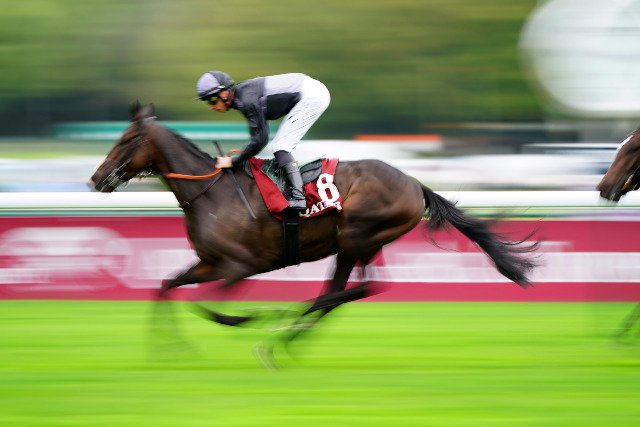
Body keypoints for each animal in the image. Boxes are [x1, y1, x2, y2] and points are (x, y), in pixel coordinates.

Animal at [90, 102, 538, 364]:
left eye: (126, 140)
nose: (96, 179)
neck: (212, 192)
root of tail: (415, 184)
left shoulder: (240, 265)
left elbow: (210, 309)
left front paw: (253, 317)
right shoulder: (209, 263)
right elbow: (167, 286)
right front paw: (170, 349)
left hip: (357, 235)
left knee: (356, 289)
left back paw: (282, 325)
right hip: (358, 244)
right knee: (347, 290)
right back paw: (286, 338)